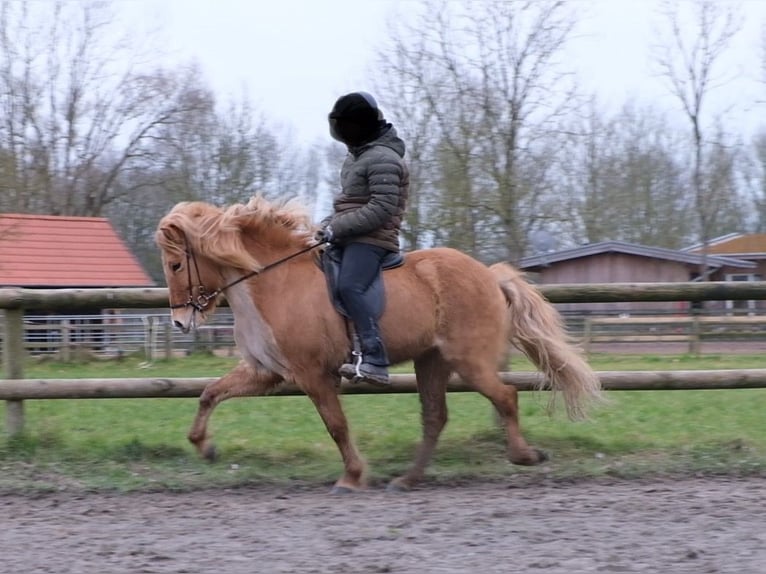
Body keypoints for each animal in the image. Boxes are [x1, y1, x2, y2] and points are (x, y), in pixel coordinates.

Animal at [154, 197, 600, 496]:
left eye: (176, 264)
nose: (180, 321)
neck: (273, 283)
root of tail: (489, 275)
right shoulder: (268, 373)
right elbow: (210, 394)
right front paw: (206, 448)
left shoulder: (312, 375)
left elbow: (336, 425)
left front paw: (351, 477)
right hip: (431, 361)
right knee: (435, 417)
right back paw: (407, 479)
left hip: (468, 360)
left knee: (505, 396)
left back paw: (526, 456)